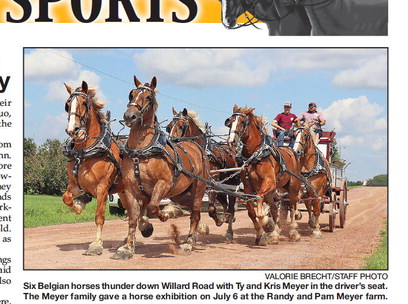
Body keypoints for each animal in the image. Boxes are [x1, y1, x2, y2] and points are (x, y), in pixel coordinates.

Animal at [61, 79, 134, 255]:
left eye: (84, 103)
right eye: (67, 105)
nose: (73, 130)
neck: (85, 152)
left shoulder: (102, 188)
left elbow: (99, 216)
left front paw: (96, 244)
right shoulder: (74, 184)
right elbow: (66, 198)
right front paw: (79, 205)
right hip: (123, 192)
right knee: (131, 213)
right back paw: (126, 241)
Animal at [116, 76, 209, 258]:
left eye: (149, 97)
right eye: (132, 94)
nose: (130, 116)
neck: (141, 151)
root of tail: (197, 146)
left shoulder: (163, 184)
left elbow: (152, 206)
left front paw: (165, 215)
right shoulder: (130, 188)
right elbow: (133, 217)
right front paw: (127, 247)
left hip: (198, 188)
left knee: (195, 213)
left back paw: (188, 242)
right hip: (180, 193)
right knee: (191, 210)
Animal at [166, 108, 241, 241]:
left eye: (182, 126)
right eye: (168, 127)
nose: (171, 143)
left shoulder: (212, 183)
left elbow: (210, 209)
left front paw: (218, 221)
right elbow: (195, 208)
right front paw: (195, 234)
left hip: (231, 185)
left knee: (231, 207)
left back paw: (229, 231)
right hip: (220, 188)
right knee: (225, 204)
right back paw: (226, 217)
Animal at [225, 104, 302, 245]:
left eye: (242, 122)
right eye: (230, 122)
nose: (232, 141)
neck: (255, 155)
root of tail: (291, 151)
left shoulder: (268, 182)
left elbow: (260, 206)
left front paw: (267, 225)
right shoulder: (248, 187)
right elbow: (251, 212)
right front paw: (261, 234)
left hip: (293, 187)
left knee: (293, 207)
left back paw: (293, 233)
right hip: (273, 191)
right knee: (274, 209)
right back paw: (275, 235)